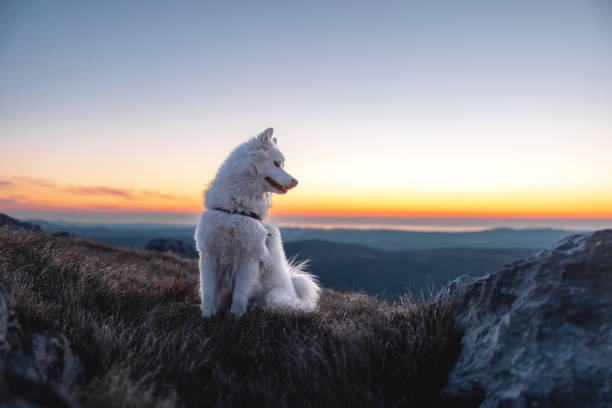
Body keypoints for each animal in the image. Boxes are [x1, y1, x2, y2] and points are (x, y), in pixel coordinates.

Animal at [195, 129, 320, 318]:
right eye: (276, 164)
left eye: (282, 164)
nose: (295, 181)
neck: (236, 210)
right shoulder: (209, 257)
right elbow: (208, 292)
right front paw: (207, 317)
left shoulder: (248, 260)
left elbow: (239, 296)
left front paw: (234, 318)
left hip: (274, 296)